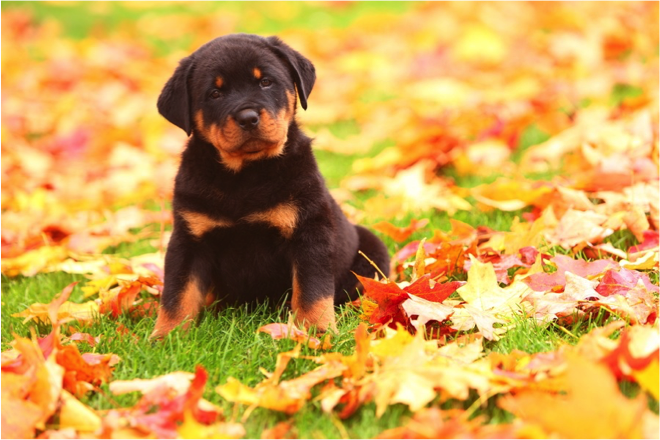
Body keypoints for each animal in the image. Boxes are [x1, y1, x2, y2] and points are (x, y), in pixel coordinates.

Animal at [152, 34, 390, 338]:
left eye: (265, 81)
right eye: (215, 94)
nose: (248, 117)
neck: (245, 176)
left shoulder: (308, 231)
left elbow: (312, 290)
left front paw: (315, 333)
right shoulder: (189, 238)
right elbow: (177, 294)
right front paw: (165, 337)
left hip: (372, 249)